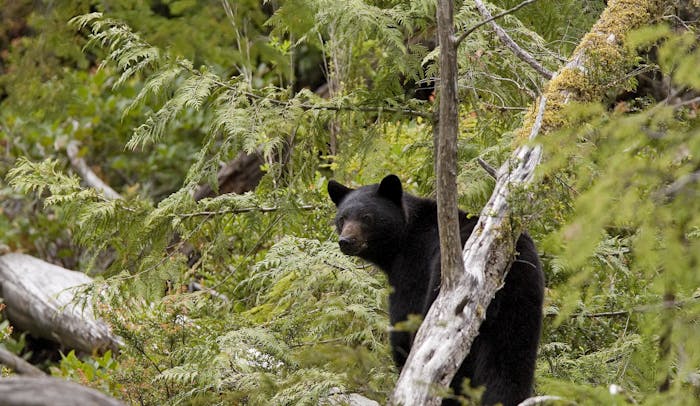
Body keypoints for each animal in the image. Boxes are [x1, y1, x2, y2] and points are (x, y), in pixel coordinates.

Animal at [330, 174, 548, 406]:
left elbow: (404, 321)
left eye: (367, 217)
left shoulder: (414, 267)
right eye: (342, 218)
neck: (404, 238)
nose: (346, 241)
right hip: (522, 302)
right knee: (510, 363)